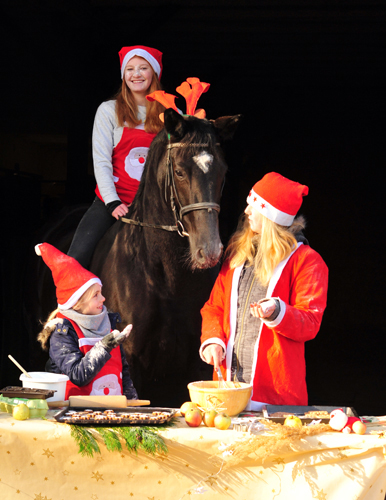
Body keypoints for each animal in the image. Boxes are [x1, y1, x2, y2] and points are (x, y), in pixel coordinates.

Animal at [90, 108, 241, 406]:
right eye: (180, 172)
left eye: (223, 172)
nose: (210, 250)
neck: (167, 280)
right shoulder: (132, 359)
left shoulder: (197, 361)